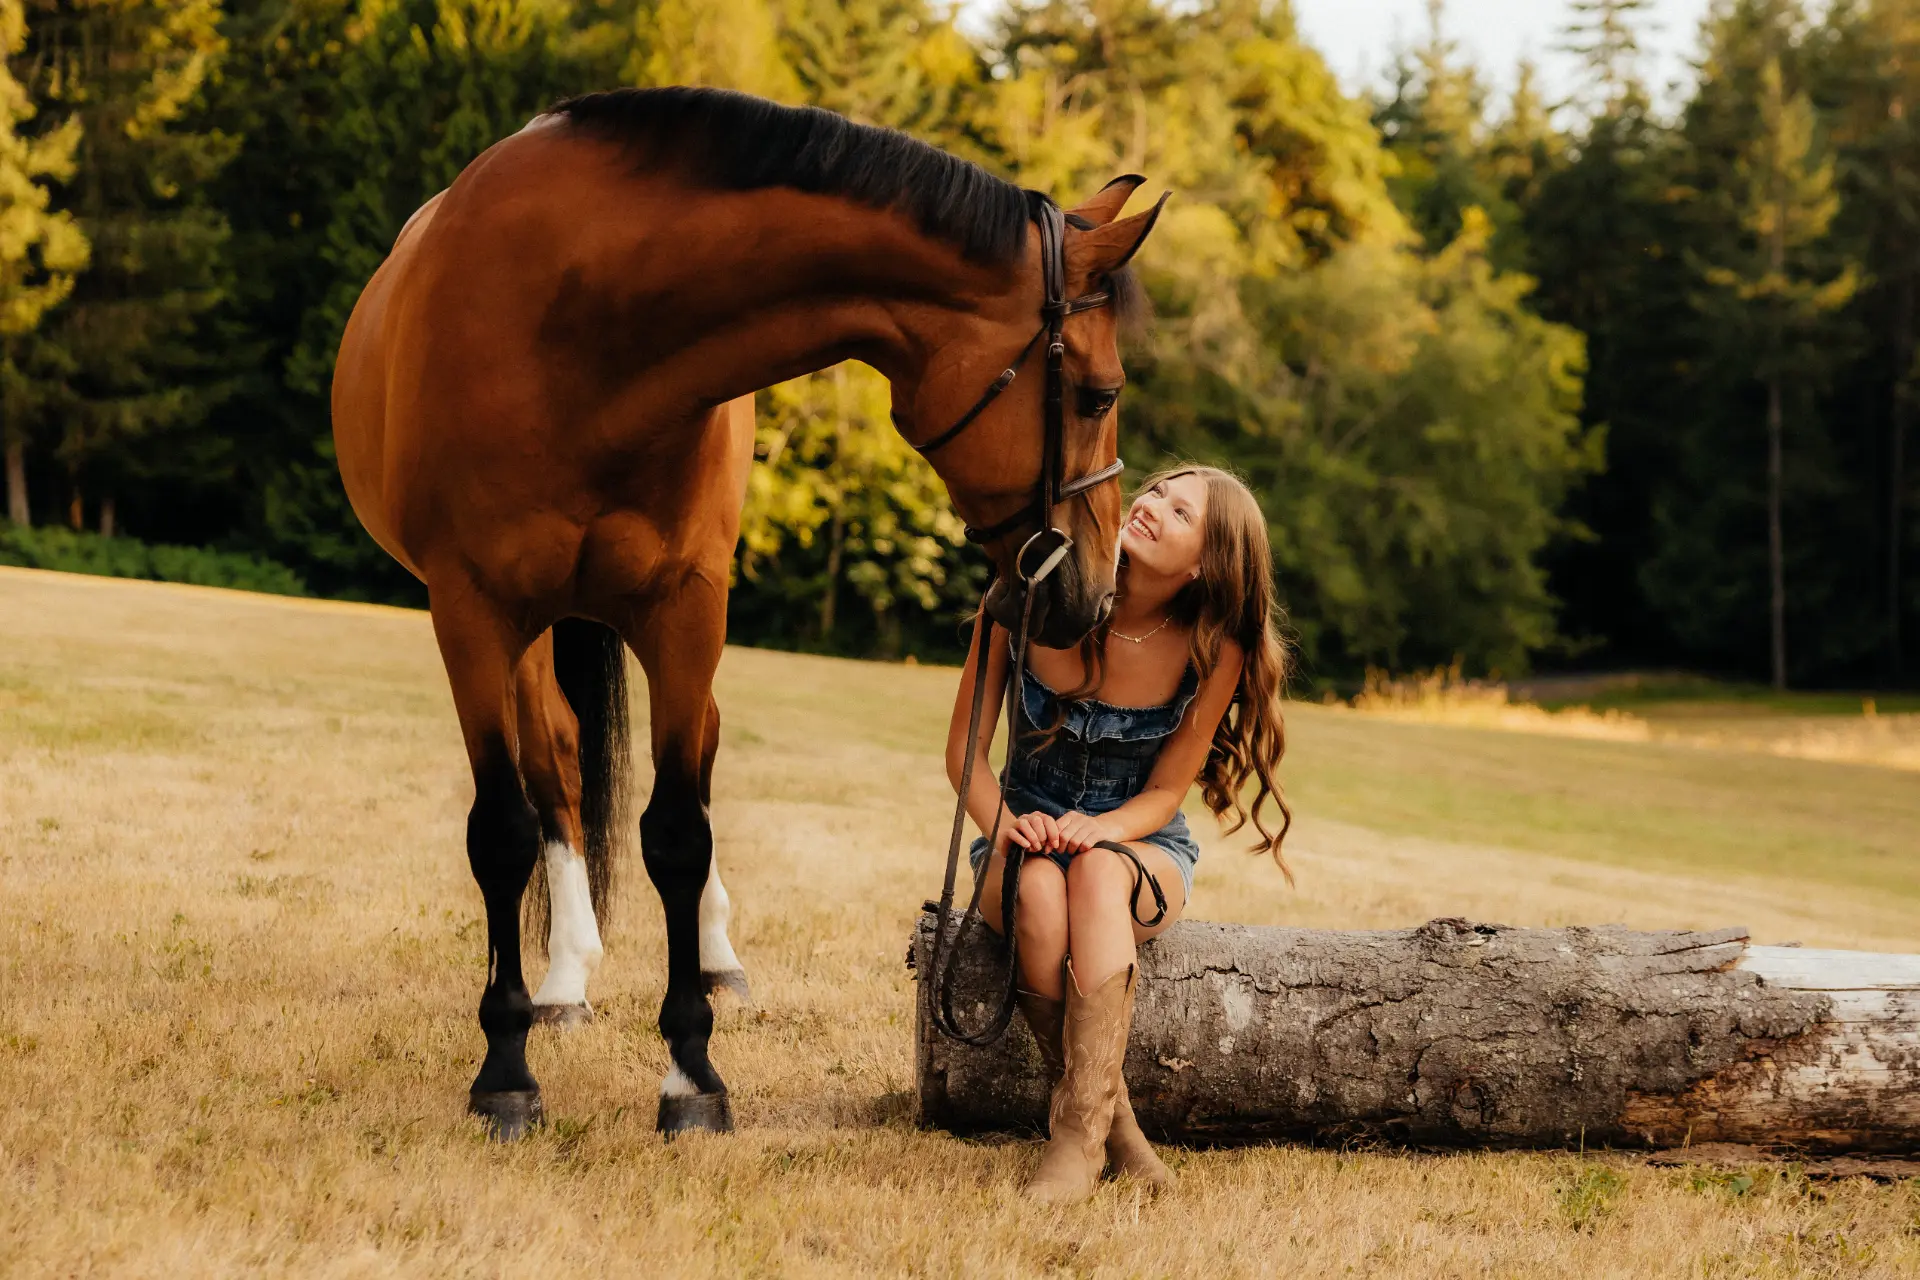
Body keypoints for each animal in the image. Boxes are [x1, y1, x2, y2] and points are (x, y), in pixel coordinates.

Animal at [331, 87, 1165, 1140]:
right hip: (521, 636)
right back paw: (564, 978)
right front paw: (506, 1072)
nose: (1095, 593)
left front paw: (692, 1073)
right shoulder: (473, 612)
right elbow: (504, 831)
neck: (578, 324)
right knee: (554, 764)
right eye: (1099, 394)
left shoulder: (688, 610)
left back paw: (714, 955)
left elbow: (680, 831)